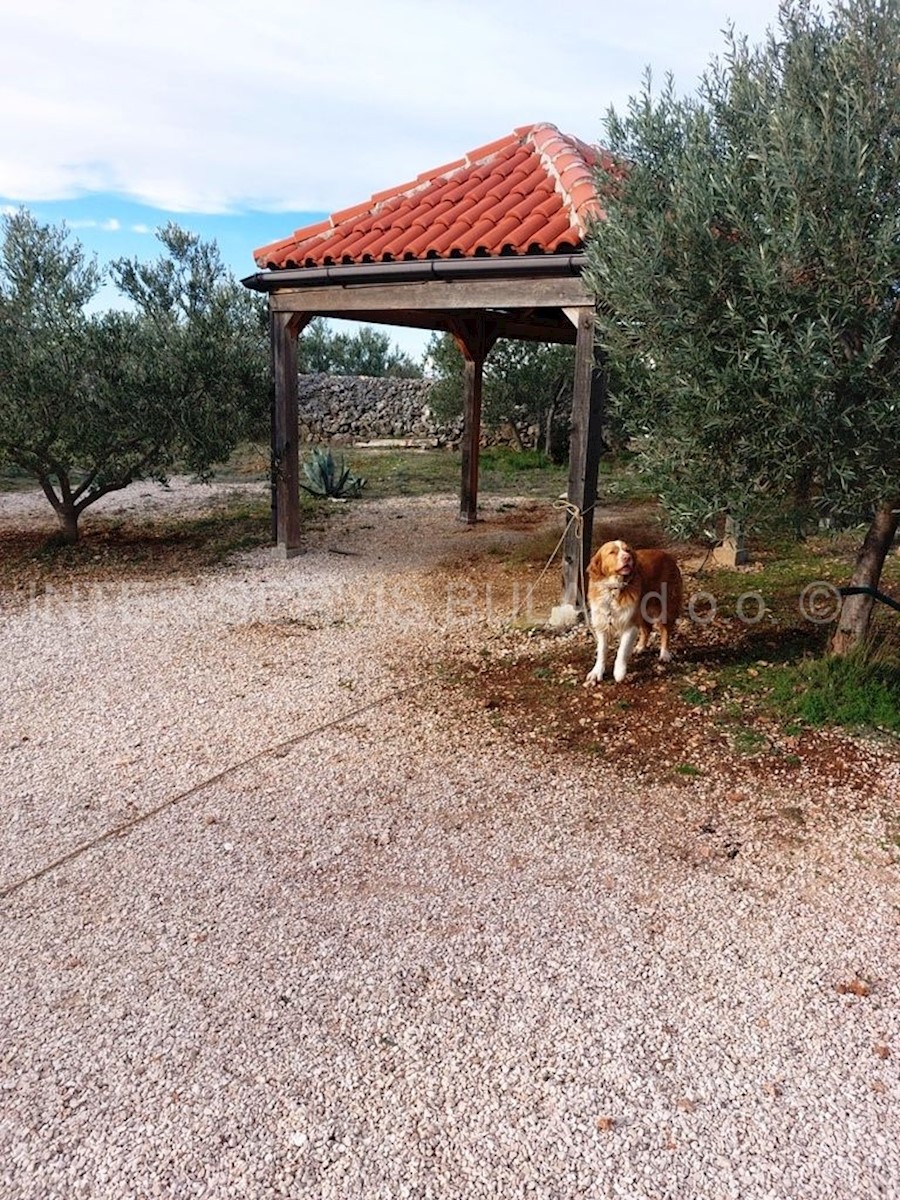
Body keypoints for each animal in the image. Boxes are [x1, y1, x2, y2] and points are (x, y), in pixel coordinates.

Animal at [585, 537, 681, 681]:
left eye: (628, 550)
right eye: (612, 552)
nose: (627, 557)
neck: (614, 589)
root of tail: (667, 555)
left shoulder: (629, 624)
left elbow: (622, 650)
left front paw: (619, 672)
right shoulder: (602, 624)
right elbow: (601, 651)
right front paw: (597, 672)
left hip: (665, 607)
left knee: (665, 630)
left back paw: (664, 654)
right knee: (647, 629)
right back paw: (640, 647)